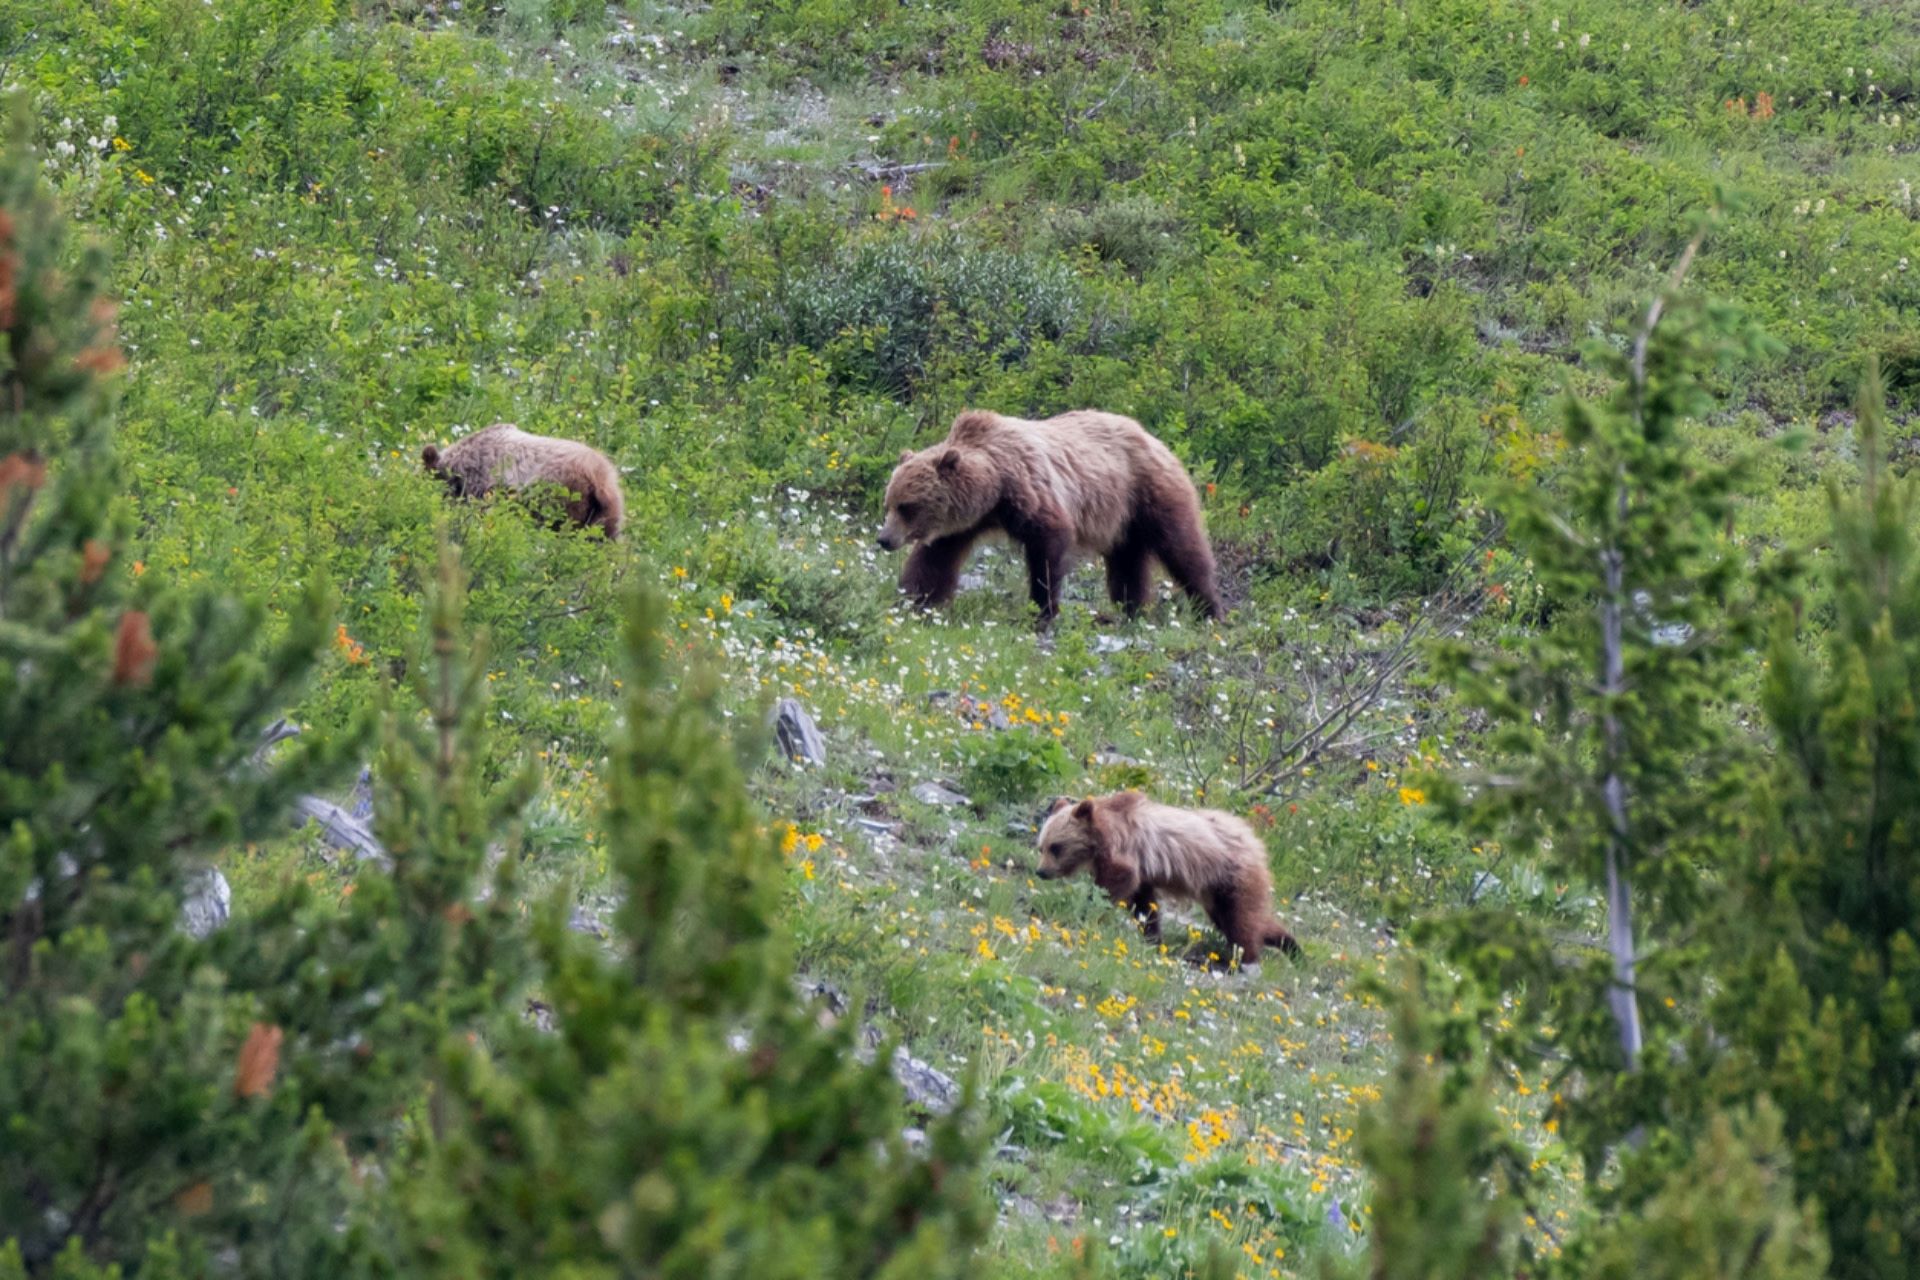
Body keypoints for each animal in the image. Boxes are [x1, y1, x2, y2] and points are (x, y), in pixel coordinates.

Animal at [879, 410, 1221, 625]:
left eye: (907, 506)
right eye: (889, 503)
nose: (884, 539)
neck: (993, 491)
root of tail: (1156, 439)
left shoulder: (1030, 491)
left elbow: (1048, 547)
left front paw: (1043, 610)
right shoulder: (960, 525)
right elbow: (933, 562)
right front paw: (913, 601)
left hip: (1147, 492)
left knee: (1182, 548)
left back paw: (1209, 608)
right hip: (1122, 519)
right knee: (1128, 563)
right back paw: (1132, 610)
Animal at [1036, 794, 1305, 967]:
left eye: (1056, 847)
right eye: (1041, 847)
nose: (1041, 872)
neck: (1100, 834)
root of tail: (1256, 843)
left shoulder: (1124, 848)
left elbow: (1116, 881)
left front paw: (1088, 910)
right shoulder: (1143, 871)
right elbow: (1144, 903)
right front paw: (1153, 936)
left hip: (1234, 876)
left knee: (1241, 922)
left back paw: (1245, 958)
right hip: (1218, 890)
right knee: (1241, 919)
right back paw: (1291, 946)